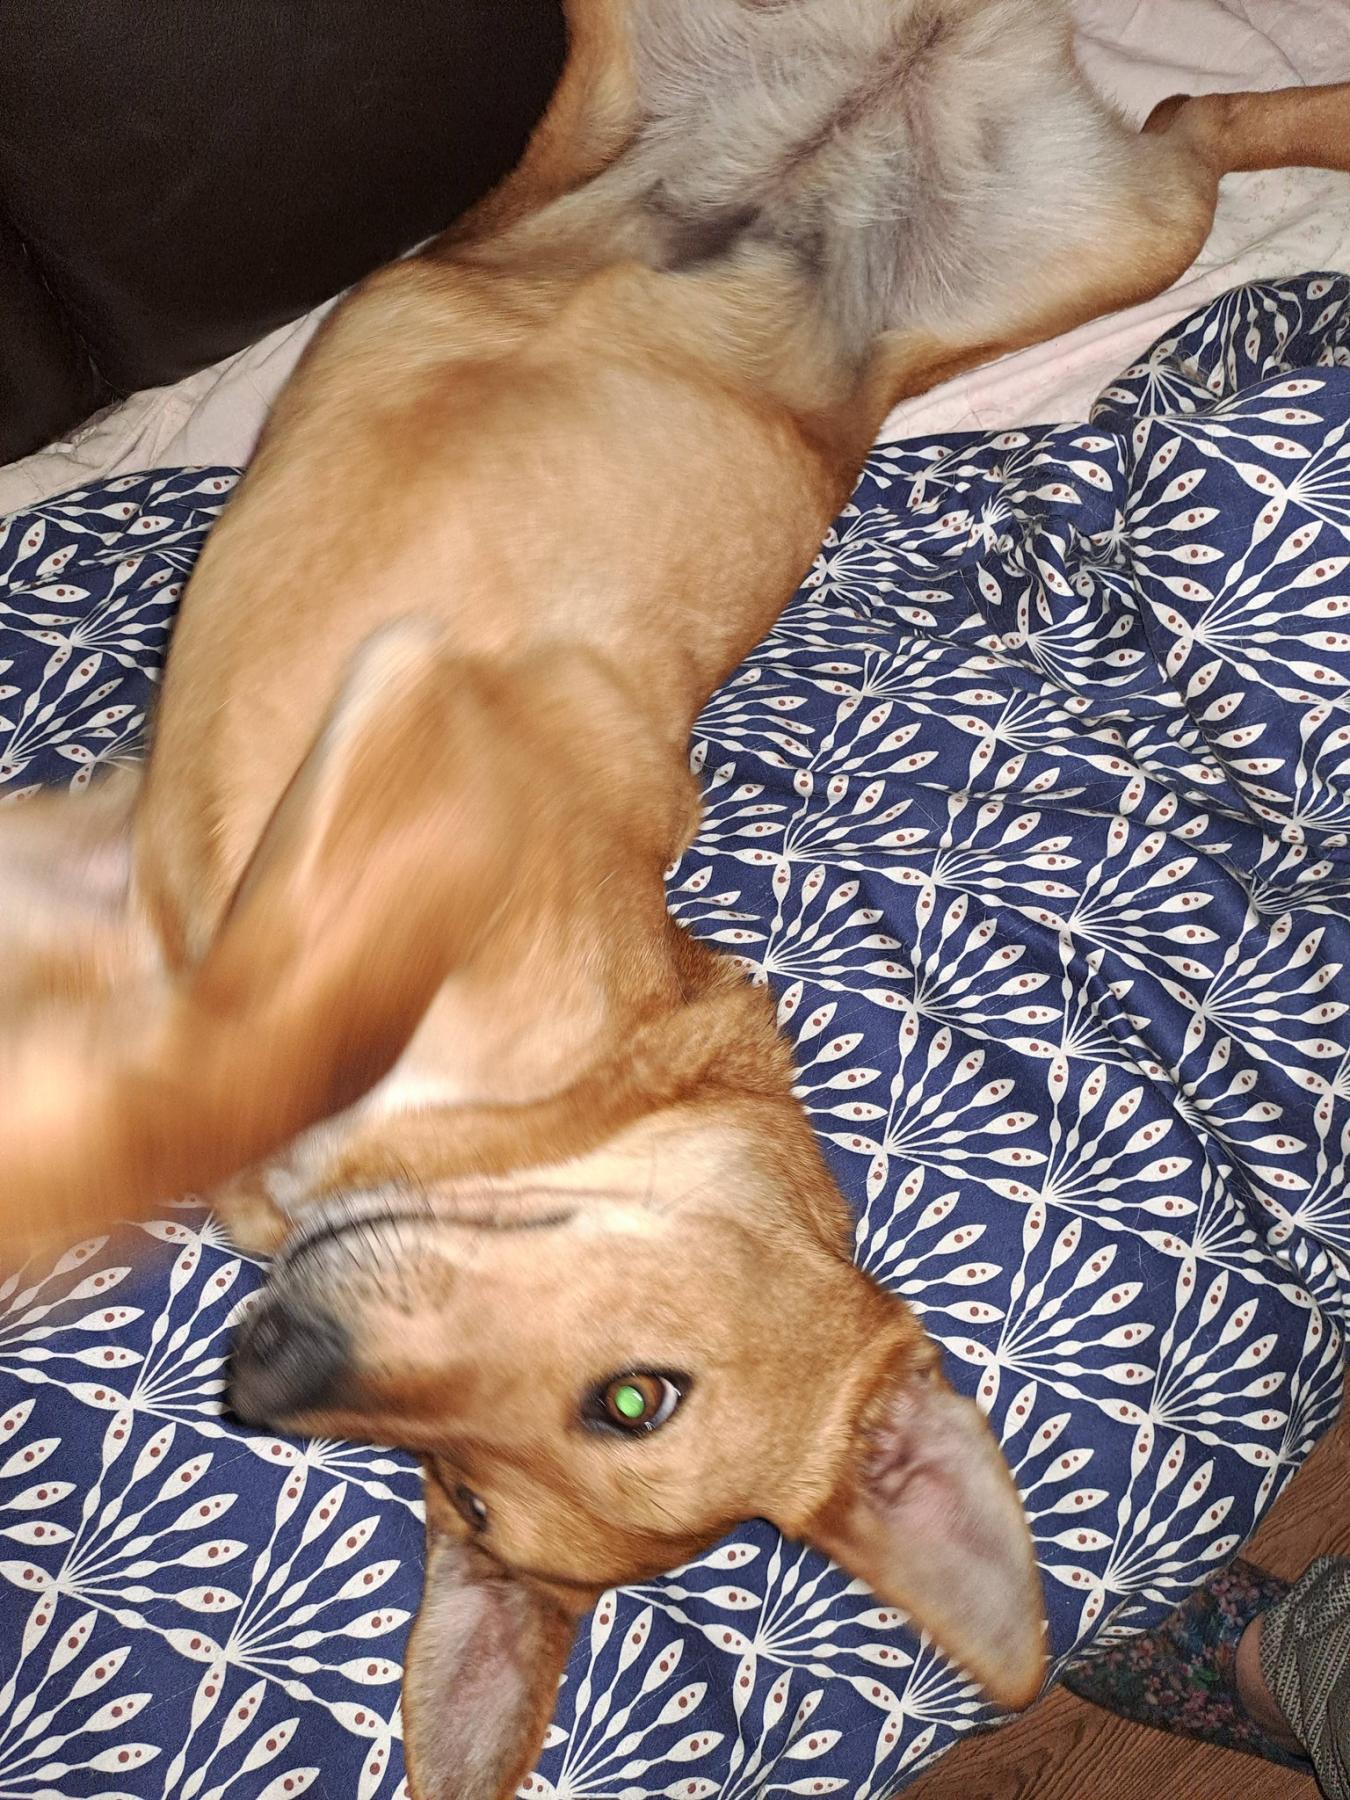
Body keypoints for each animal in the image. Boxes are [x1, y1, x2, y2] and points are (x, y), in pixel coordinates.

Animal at [2, 3, 1348, 1796]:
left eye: (495, 1485)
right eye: (639, 1399)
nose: (272, 1371)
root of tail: (916, 80)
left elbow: (173, 1090)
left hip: (1123, 226)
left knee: (1199, 118)